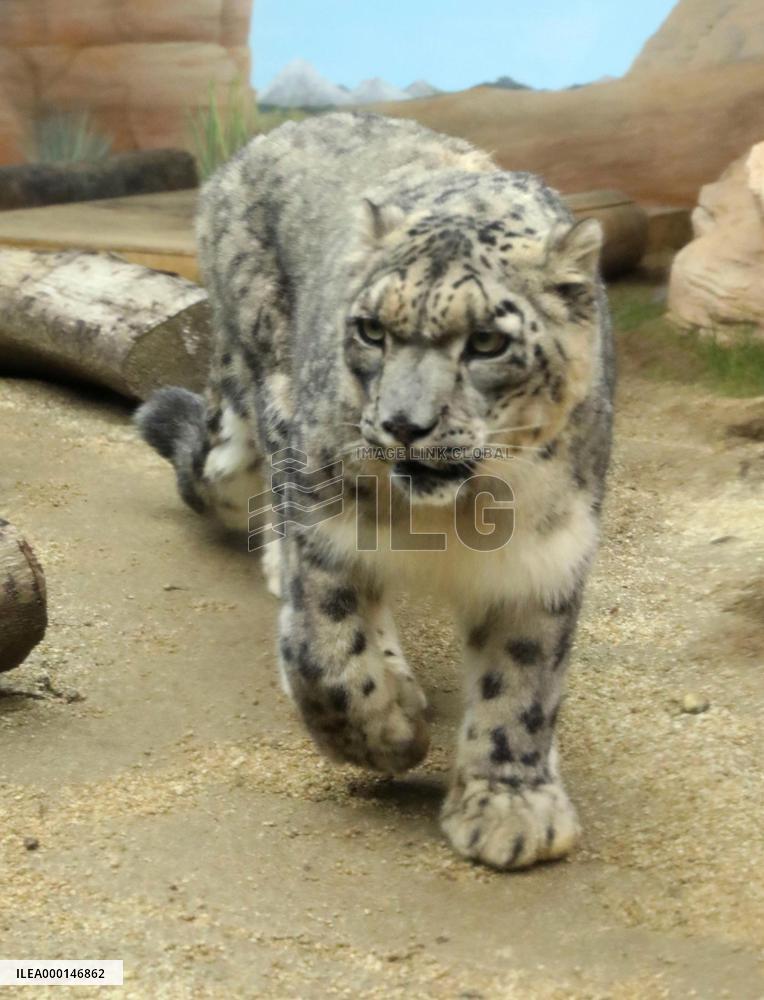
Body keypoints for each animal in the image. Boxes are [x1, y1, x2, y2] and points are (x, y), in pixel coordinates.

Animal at [135, 111, 614, 870]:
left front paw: (510, 806)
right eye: (370, 330)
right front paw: (387, 733)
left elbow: (523, 678)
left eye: (487, 341)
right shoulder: (327, 523)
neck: (460, 516)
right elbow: (326, 652)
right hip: (275, 389)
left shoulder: (546, 555)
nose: (404, 424)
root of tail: (258, 143)